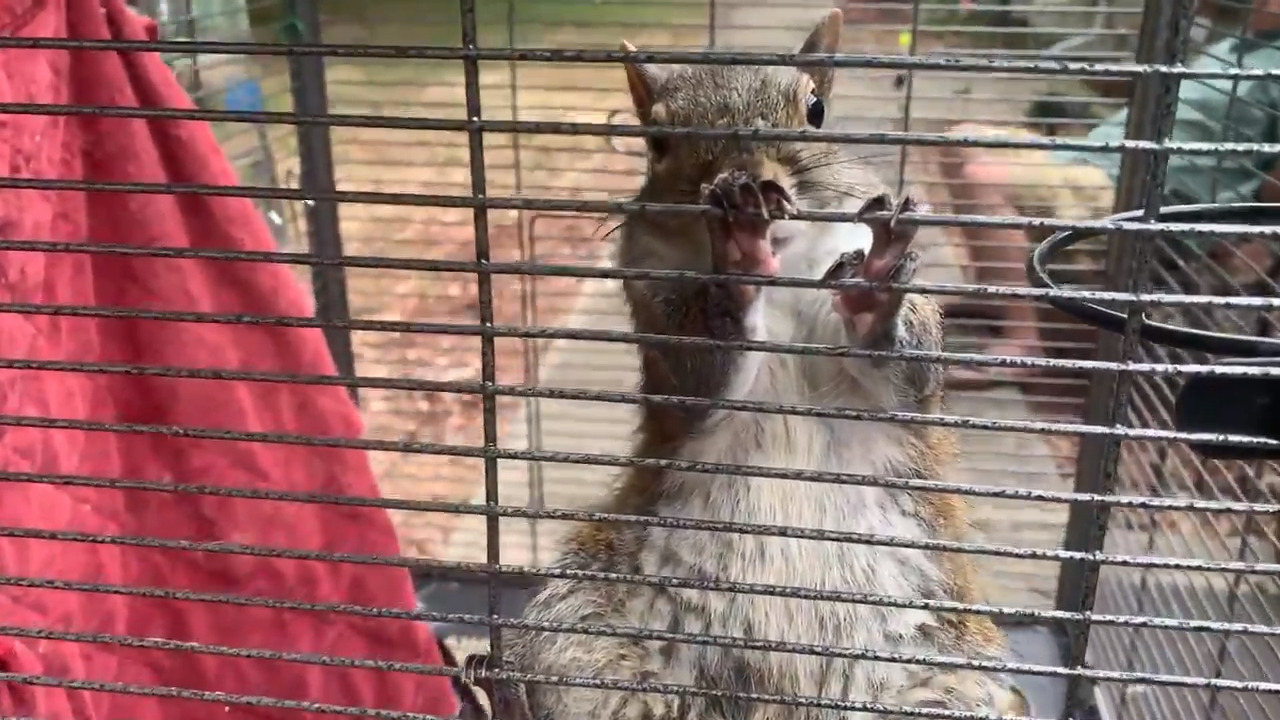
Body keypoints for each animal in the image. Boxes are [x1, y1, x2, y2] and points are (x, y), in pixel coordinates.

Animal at [463, 9, 1032, 720]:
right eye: (657, 140)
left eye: (816, 109)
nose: (750, 184)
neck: (783, 274)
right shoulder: (656, 312)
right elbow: (698, 376)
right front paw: (734, 267)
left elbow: (911, 377)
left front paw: (875, 287)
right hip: (580, 625)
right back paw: (494, 689)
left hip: (955, 677)